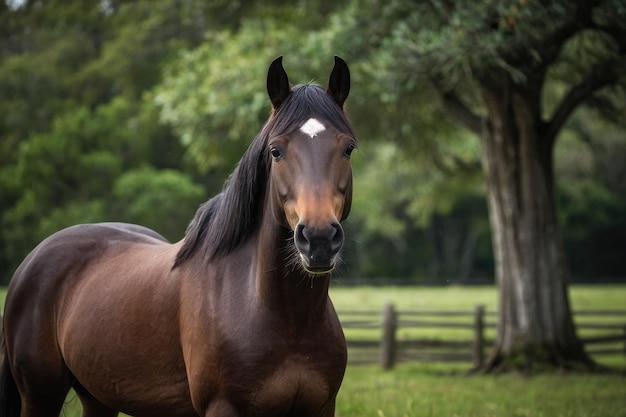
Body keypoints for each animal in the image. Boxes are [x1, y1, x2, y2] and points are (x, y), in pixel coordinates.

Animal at [0, 56, 354, 416]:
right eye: (276, 151)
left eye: (348, 148)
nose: (318, 238)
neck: (284, 316)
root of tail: (31, 261)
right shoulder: (223, 407)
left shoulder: (321, 408)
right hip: (40, 396)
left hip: (97, 396)